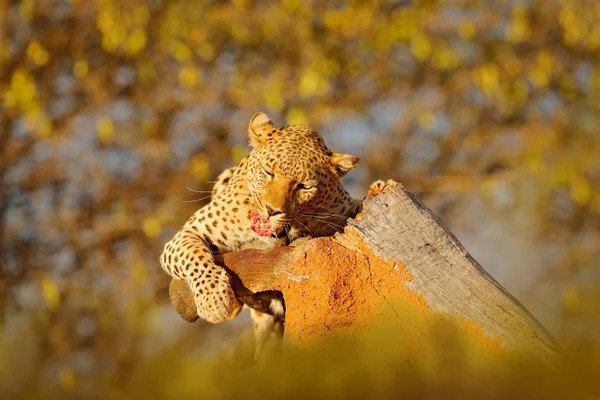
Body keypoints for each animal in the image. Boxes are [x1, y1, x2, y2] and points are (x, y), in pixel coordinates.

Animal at [159, 111, 364, 356]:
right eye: (268, 172)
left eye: (304, 186)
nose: (271, 210)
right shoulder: (189, 232)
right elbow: (192, 257)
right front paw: (214, 300)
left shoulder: (342, 207)